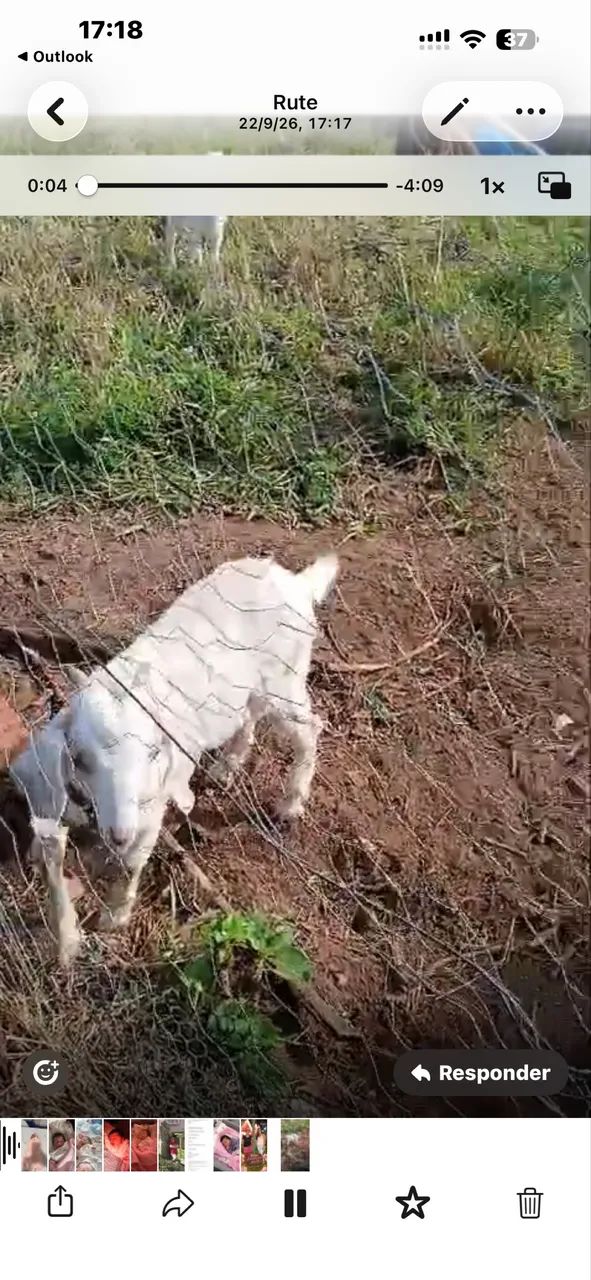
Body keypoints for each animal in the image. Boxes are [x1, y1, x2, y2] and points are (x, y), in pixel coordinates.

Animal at [10, 553, 338, 965]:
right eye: (80, 759)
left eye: (153, 753)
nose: (119, 834)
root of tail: (298, 583)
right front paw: (65, 935)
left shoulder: (151, 807)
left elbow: (132, 863)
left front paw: (114, 919)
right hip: (250, 689)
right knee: (249, 716)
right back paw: (227, 766)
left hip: (286, 681)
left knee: (309, 728)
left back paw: (291, 803)